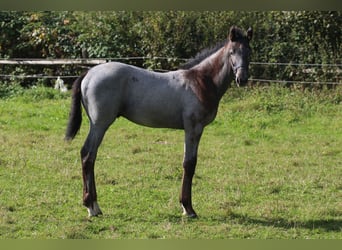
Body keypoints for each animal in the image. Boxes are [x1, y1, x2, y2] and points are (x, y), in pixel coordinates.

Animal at [65, 24, 252, 217]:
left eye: (249, 52)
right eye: (232, 52)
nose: (242, 79)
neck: (200, 81)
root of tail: (88, 73)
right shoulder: (193, 128)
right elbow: (189, 164)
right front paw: (188, 208)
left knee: (89, 155)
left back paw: (95, 205)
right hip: (99, 124)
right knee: (88, 155)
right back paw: (91, 206)